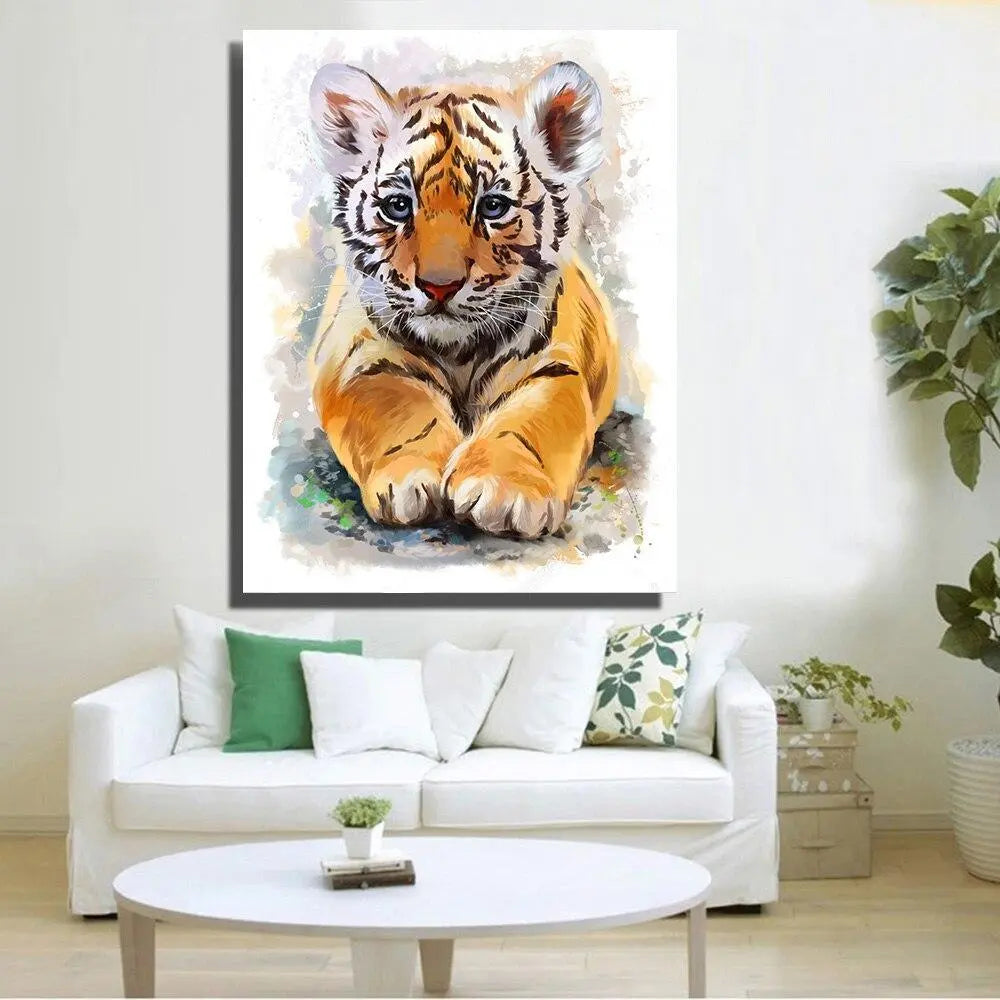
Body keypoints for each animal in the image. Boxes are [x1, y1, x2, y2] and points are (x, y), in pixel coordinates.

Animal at [306, 59, 619, 540]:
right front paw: (415, 476)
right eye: (398, 206)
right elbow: (402, 410)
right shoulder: (362, 359)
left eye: (492, 206)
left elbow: (528, 426)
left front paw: (505, 491)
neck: (458, 352)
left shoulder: (551, 367)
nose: (440, 285)